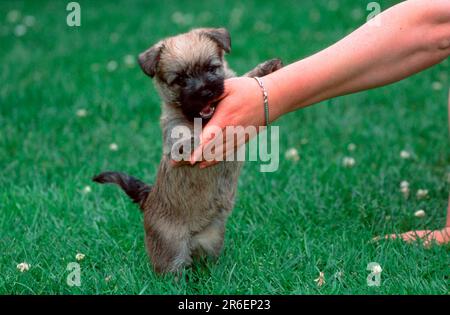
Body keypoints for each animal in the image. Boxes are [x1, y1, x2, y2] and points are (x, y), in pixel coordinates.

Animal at [92, 27, 282, 274]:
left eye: (211, 69)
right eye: (180, 80)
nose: (205, 91)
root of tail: (148, 198)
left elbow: (240, 78)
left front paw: (265, 68)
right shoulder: (176, 137)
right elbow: (190, 139)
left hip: (212, 240)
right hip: (171, 248)